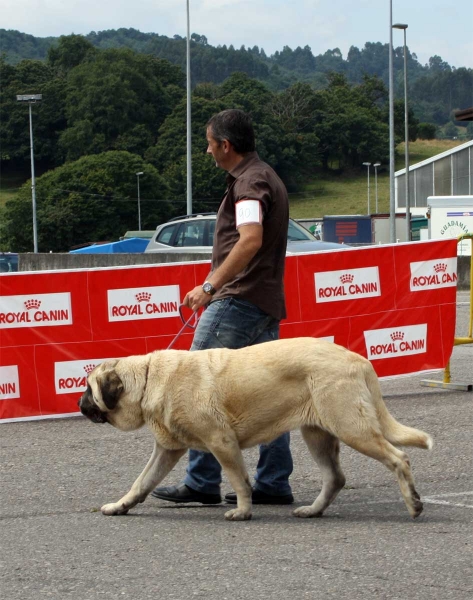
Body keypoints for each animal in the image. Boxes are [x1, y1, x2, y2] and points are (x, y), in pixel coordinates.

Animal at [78, 338, 432, 520]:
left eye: (88, 388)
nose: (79, 403)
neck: (148, 378)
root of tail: (359, 360)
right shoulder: (168, 450)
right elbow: (141, 483)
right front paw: (120, 506)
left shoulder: (221, 442)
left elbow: (238, 479)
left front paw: (243, 511)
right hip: (318, 435)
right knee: (335, 478)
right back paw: (314, 510)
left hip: (352, 427)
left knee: (399, 458)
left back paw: (413, 503)